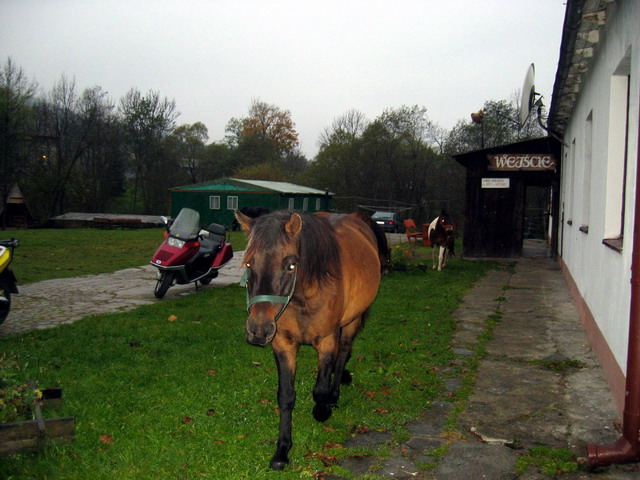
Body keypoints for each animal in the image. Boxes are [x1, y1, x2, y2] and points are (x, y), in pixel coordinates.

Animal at [238, 210, 382, 468]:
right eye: (248, 263)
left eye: (291, 265)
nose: (258, 329)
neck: (304, 295)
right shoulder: (283, 344)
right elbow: (286, 396)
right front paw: (282, 451)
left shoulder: (326, 341)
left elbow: (320, 389)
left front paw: (322, 410)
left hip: (351, 322)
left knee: (343, 353)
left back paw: (334, 397)